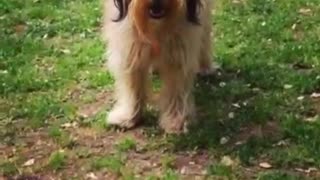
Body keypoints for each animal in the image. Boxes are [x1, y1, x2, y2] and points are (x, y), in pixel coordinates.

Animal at [103, 0, 215, 134]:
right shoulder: (130, 47)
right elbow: (133, 85)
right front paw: (129, 115)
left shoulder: (179, 52)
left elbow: (176, 90)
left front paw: (175, 120)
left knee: (206, 33)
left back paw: (205, 66)